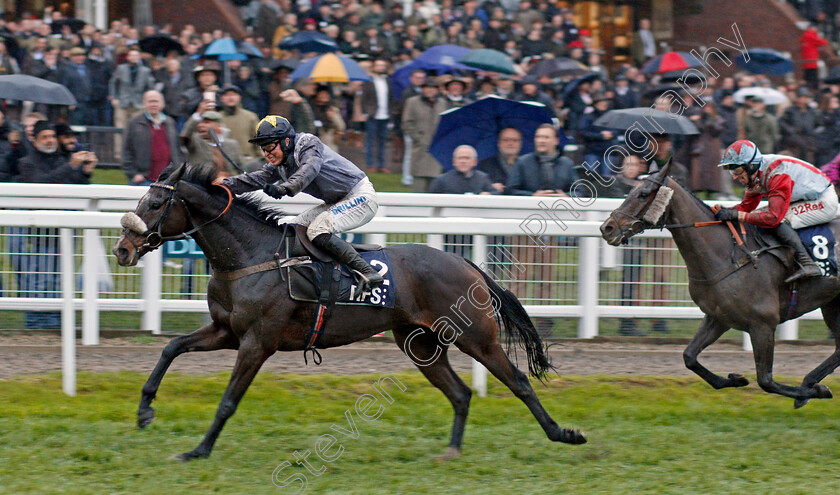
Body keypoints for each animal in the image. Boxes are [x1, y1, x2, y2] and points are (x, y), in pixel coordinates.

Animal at [600, 161, 840, 408]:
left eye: (643, 194)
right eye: (630, 191)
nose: (607, 228)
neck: (727, 255)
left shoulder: (763, 324)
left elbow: (766, 381)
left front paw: (816, 392)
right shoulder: (719, 317)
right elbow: (689, 357)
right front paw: (736, 379)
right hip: (832, 304)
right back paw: (809, 382)